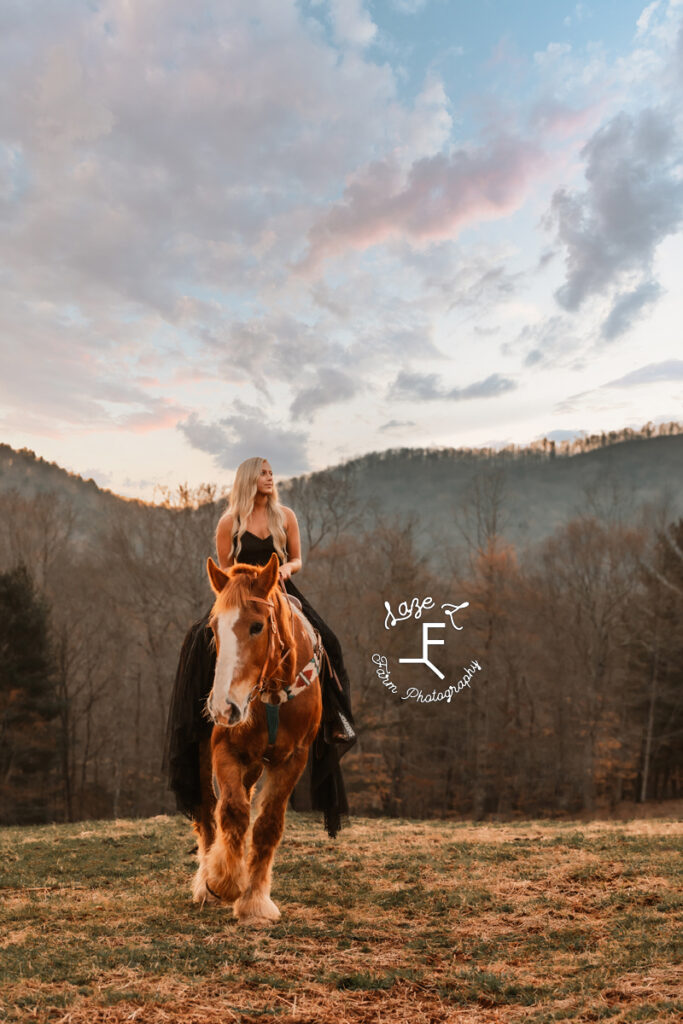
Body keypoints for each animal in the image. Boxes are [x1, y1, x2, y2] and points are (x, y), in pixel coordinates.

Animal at [189, 552, 323, 929]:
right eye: (214, 628)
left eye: (257, 626)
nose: (223, 707)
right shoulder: (225, 749)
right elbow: (232, 810)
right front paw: (223, 881)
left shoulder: (293, 759)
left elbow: (267, 825)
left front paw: (255, 902)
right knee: (207, 812)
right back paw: (205, 883)